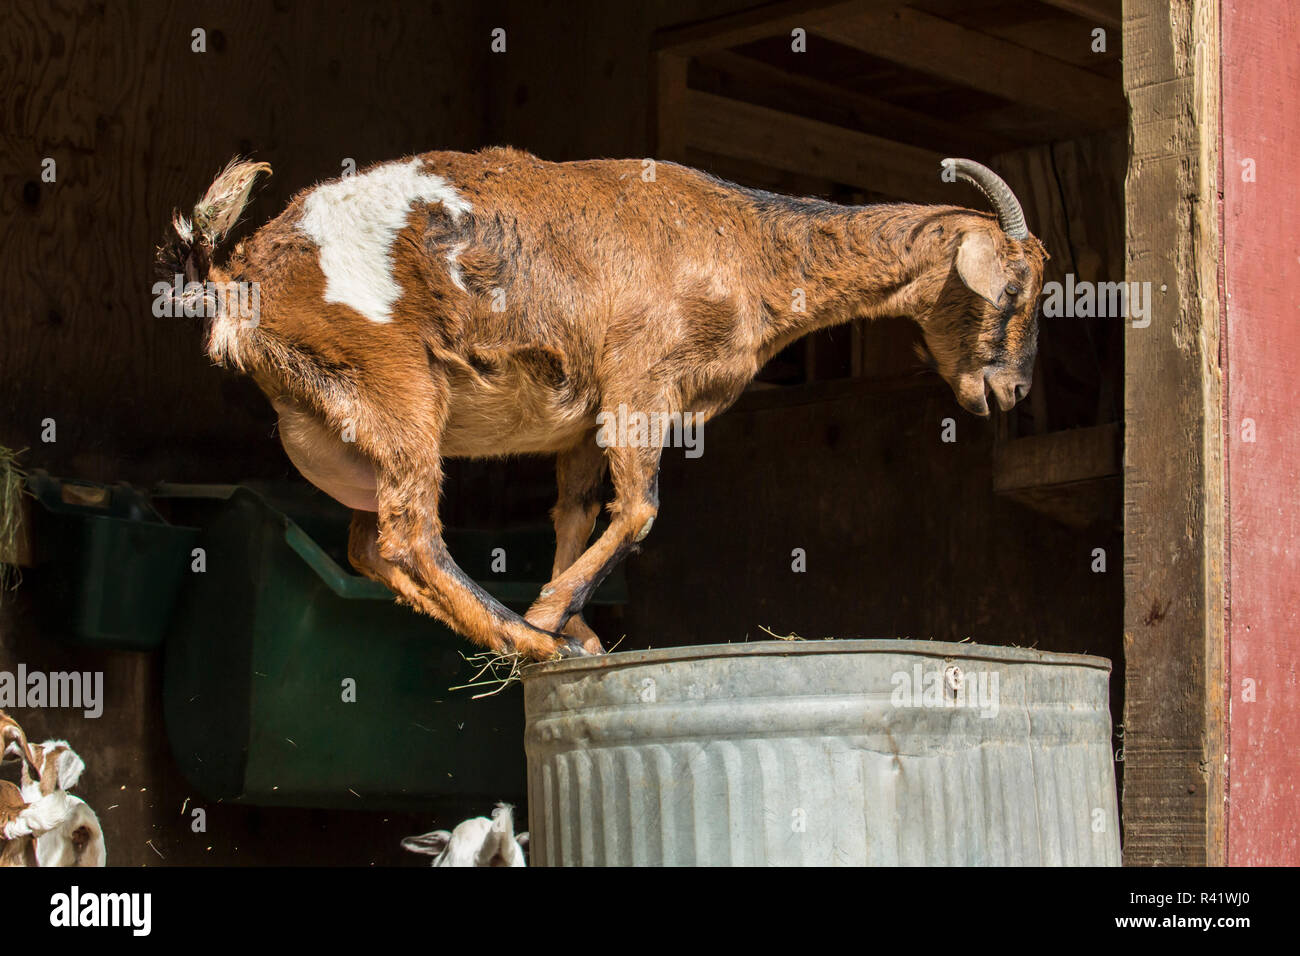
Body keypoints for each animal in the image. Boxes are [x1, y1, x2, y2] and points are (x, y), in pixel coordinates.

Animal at [159, 149, 1045, 660]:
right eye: (1014, 290)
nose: (1010, 390)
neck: (748, 246)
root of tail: (240, 274)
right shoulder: (639, 383)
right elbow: (642, 509)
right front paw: (555, 615)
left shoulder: (582, 422)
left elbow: (577, 513)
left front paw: (580, 622)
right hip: (397, 385)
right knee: (410, 538)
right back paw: (527, 638)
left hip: (352, 418)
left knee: (371, 545)